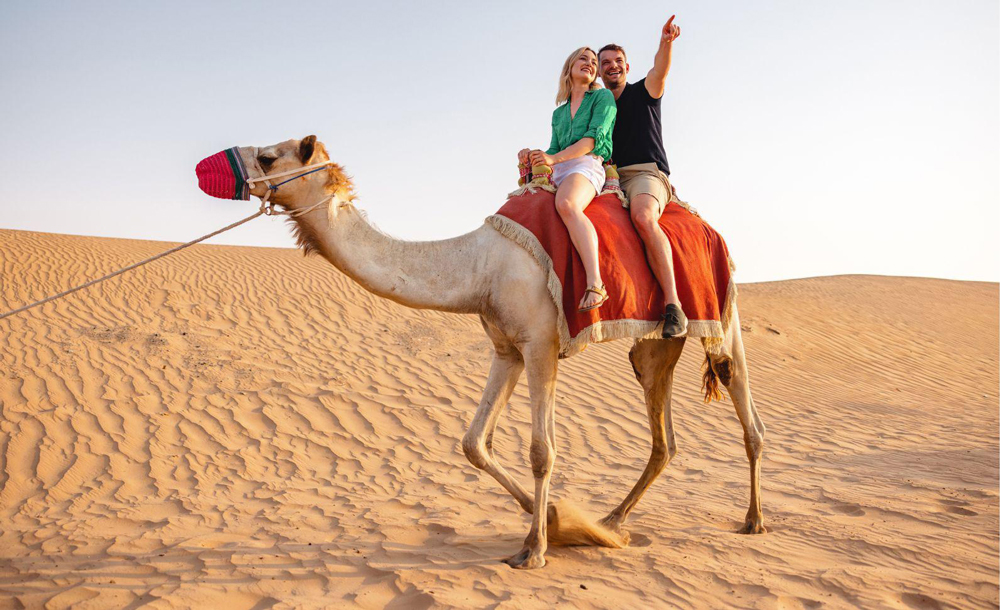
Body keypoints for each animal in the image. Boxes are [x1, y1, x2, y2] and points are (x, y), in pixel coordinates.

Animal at [236, 135, 766, 569]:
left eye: (270, 156)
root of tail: (708, 227)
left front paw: (536, 548)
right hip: (655, 347)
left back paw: (753, 520)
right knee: (664, 438)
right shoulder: (506, 348)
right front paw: (553, 519)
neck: (479, 266)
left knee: (744, 406)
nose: (235, 168)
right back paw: (612, 523)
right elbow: (473, 443)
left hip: (723, 312)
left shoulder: (540, 345)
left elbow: (541, 451)